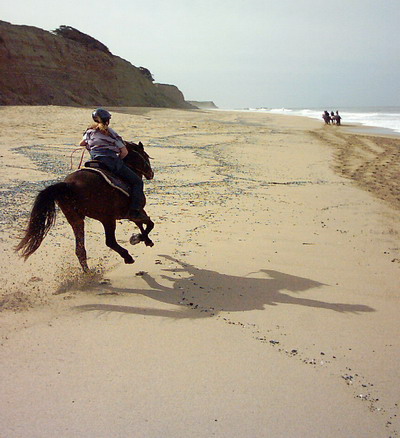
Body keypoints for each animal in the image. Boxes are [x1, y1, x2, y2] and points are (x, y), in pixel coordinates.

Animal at [16, 141, 153, 270]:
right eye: (145, 156)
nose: (151, 174)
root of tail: (69, 185)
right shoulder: (137, 211)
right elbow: (149, 224)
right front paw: (138, 238)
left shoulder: (132, 213)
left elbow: (141, 224)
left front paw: (145, 240)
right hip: (107, 219)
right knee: (110, 242)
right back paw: (127, 257)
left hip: (76, 219)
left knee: (80, 249)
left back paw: (87, 271)